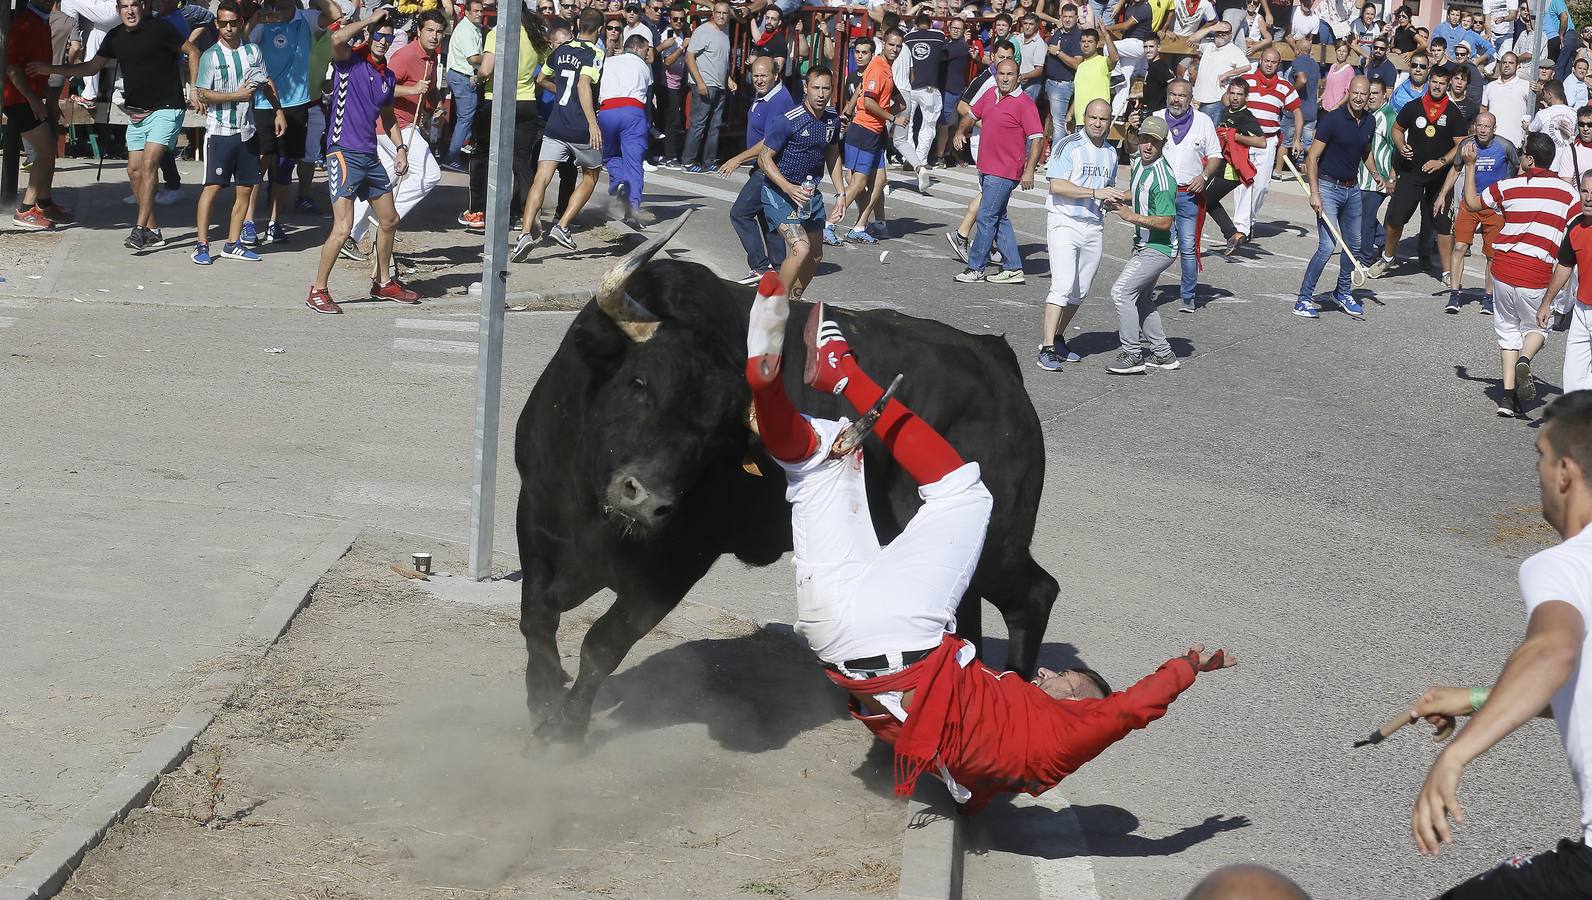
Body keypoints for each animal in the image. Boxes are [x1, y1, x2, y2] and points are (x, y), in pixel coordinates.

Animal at [512, 245, 1057, 735]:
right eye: (640, 381)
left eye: (718, 431)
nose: (646, 498)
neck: (592, 513)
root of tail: (994, 358)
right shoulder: (535, 511)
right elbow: (536, 616)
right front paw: (542, 697)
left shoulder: (679, 562)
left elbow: (603, 643)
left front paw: (563, 731)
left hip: (994, 536)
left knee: (1033, 595)